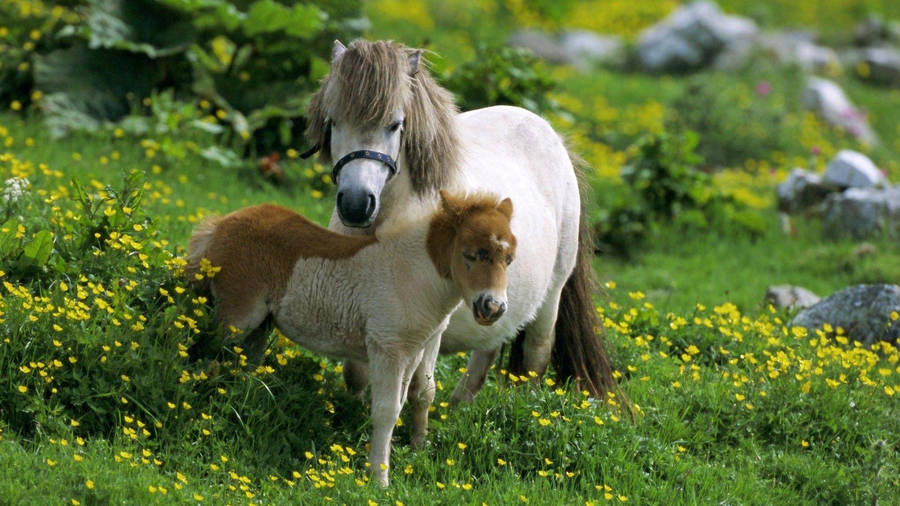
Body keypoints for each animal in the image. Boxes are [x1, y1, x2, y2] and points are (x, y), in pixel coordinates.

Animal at [185, 190, 515, 486]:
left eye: (509, 259)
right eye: (470, 254)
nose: (493, 307)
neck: (413, 275)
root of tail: (221, 223)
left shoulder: (412, 352)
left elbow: (406, 402)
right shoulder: (387, 348)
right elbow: (385, 411)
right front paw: (379, 479)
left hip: (260, 325)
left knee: (245, 366)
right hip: (237, 318)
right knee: (207, 355)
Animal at [304, 39, 618, 403]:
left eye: (395, 125)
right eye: (333, 121)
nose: (356, 204)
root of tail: (553, 137)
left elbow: (418, 386)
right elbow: (356, 373)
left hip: (551, 294)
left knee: (535, 356)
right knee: (489, 348)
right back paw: (458, 407)